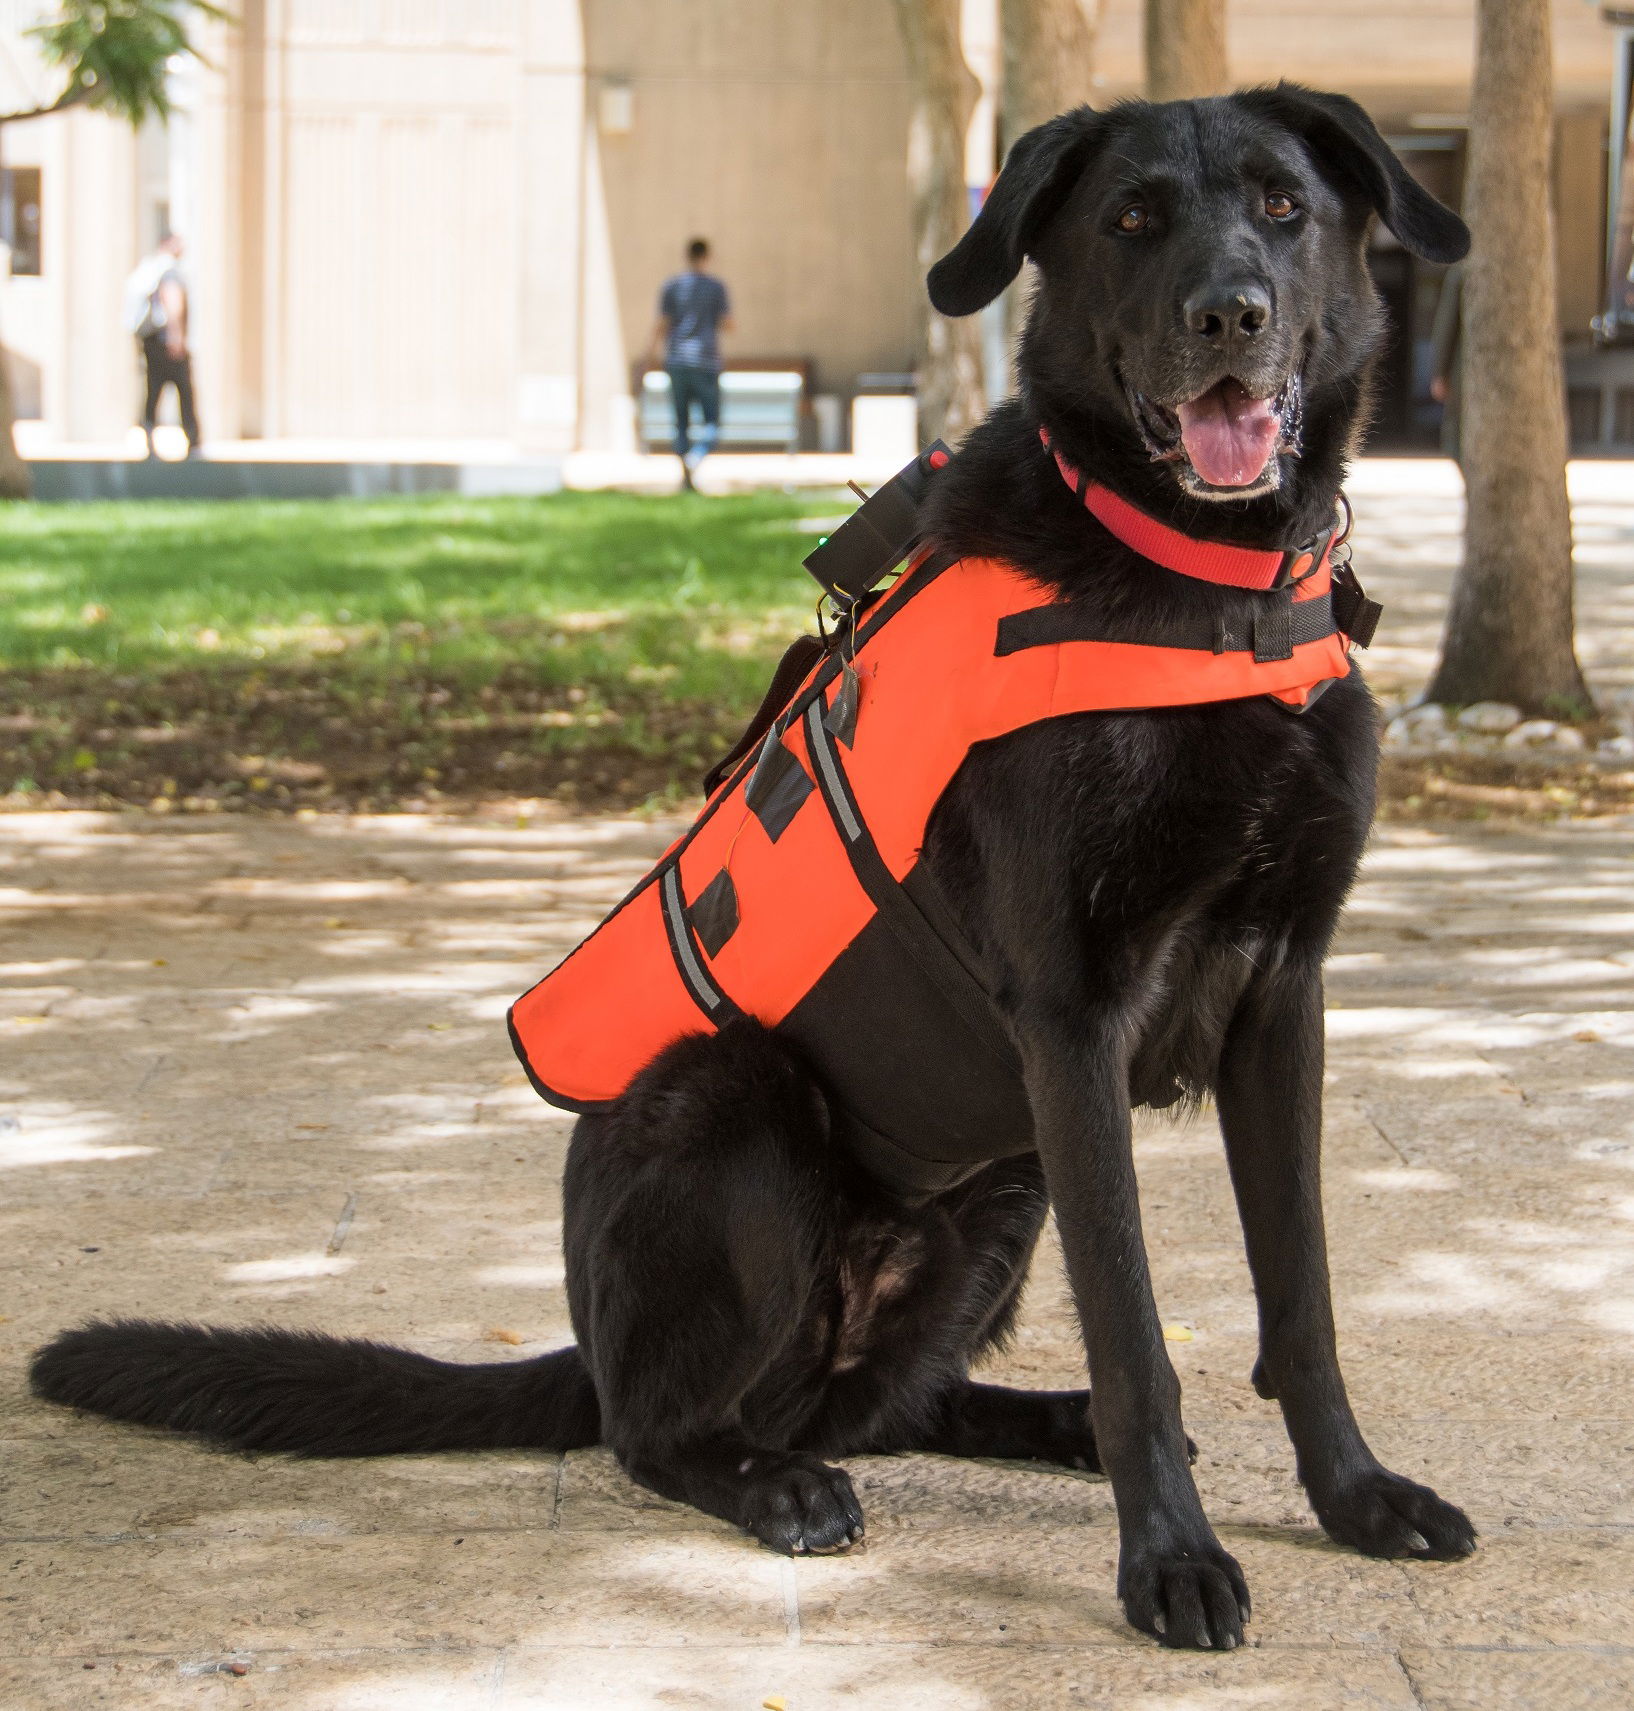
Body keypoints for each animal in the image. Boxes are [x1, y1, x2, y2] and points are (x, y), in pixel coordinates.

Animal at [31, 86, 1478, 1649]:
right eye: (1133, 218)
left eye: (1281, 205)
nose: (1229, 314)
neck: (1203, 594)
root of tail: (591, 1337)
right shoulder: (1071, 1022)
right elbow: (1134, 1322)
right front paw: (1169, 1557)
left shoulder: (1281, 996)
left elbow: (1301, 1296)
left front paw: (1354, 1496)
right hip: (741, 1103)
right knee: (664, 1429)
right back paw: (775, 1481)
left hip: (1000, 1181)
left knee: (884, 1407)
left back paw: (1038, 1424)